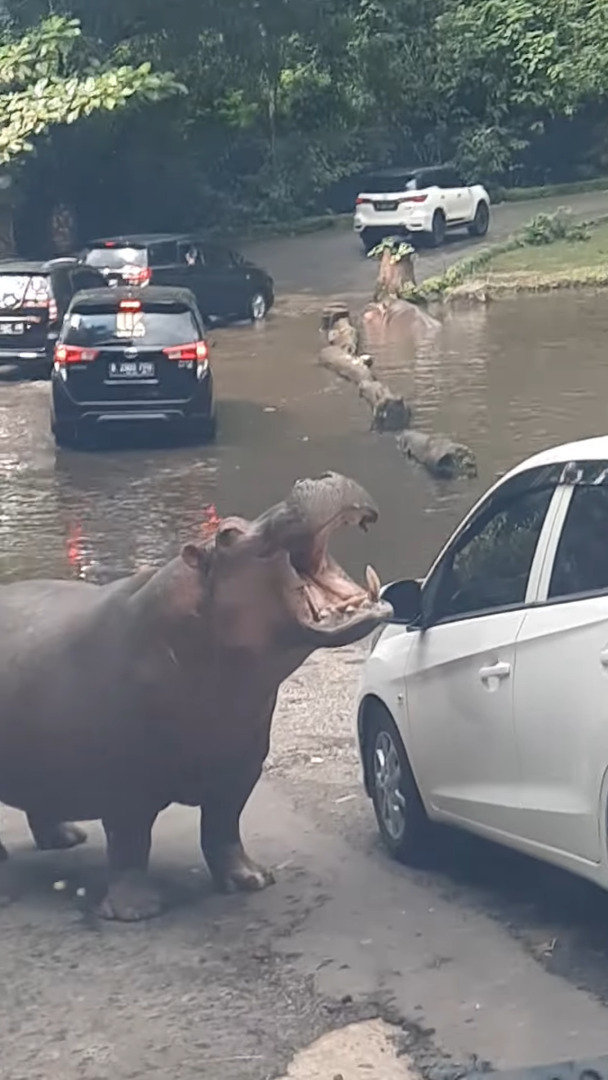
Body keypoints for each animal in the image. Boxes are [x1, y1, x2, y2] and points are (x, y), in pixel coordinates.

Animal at [0, 473, 390, 920]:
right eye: (226, 534)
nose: (318, 477)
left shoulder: (239, 766)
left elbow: (223, 828)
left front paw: (252, 879)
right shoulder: (124, 780)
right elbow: (130, 843)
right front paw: (136, 911)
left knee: (41, 798)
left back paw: (66, 838)